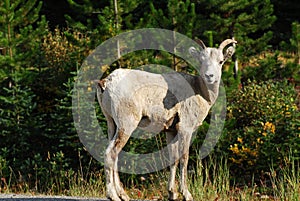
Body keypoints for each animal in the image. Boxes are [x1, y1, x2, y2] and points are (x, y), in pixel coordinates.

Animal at [95, 38, 236, 200]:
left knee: (115, 155)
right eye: (201, 60)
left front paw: (172, 193)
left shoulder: (171, 131)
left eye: (220, 61)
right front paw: (186, 194)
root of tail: (107, 82)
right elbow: (184, 158)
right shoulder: (186, 129)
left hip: (111, 123)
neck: (200, 92)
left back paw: (123, 195)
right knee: (111, 153)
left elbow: (173, 159)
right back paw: (113, 195)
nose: (209, 76)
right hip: (126, 125)